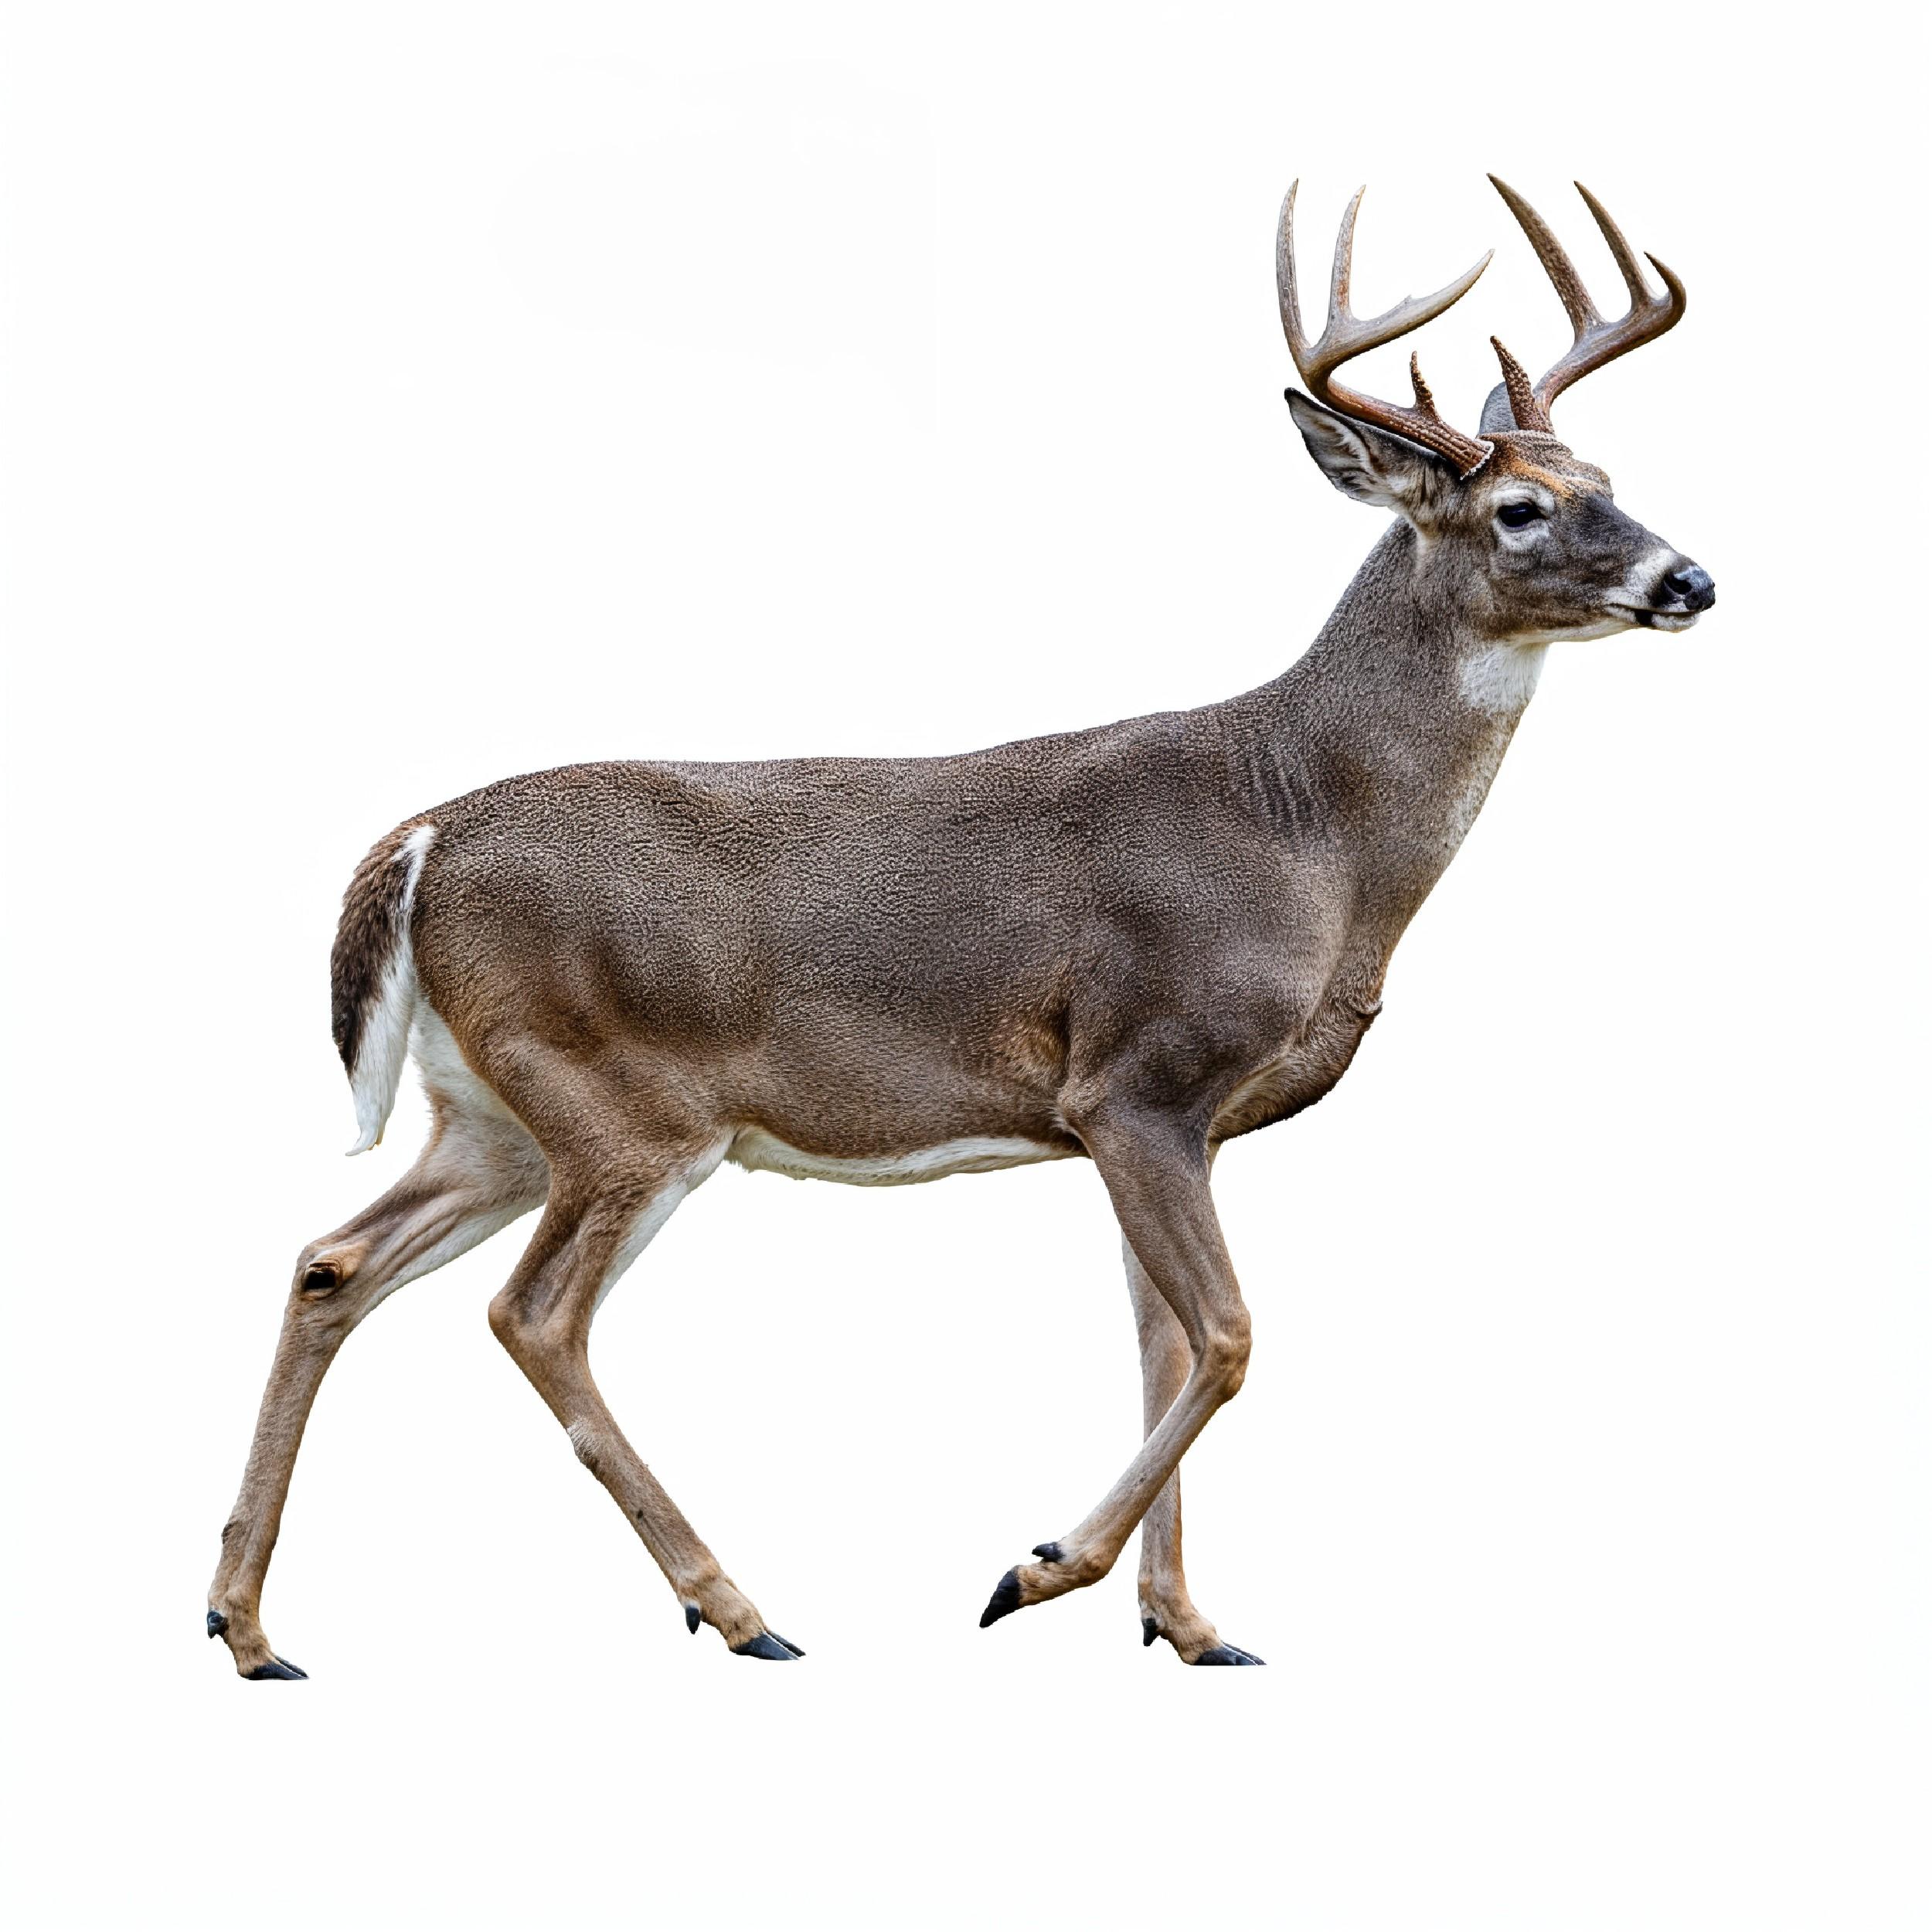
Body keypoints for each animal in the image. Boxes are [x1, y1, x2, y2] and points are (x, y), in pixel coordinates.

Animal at [207, 175, 1715, 1677]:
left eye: (1608, 482)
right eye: (1519, 509)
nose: (1689, 580)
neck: (1310, 831)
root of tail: (419, 843)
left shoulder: (1172, 1122)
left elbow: (1164, 1349)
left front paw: (1188, 1625)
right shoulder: (1136, 1075)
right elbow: (1227, 1338)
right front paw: (1040, 1569)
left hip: (493, 1113)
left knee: (333, 1264)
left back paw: (246, 1620)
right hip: (622, 1105)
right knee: (532, 1317)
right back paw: (739, 1609)